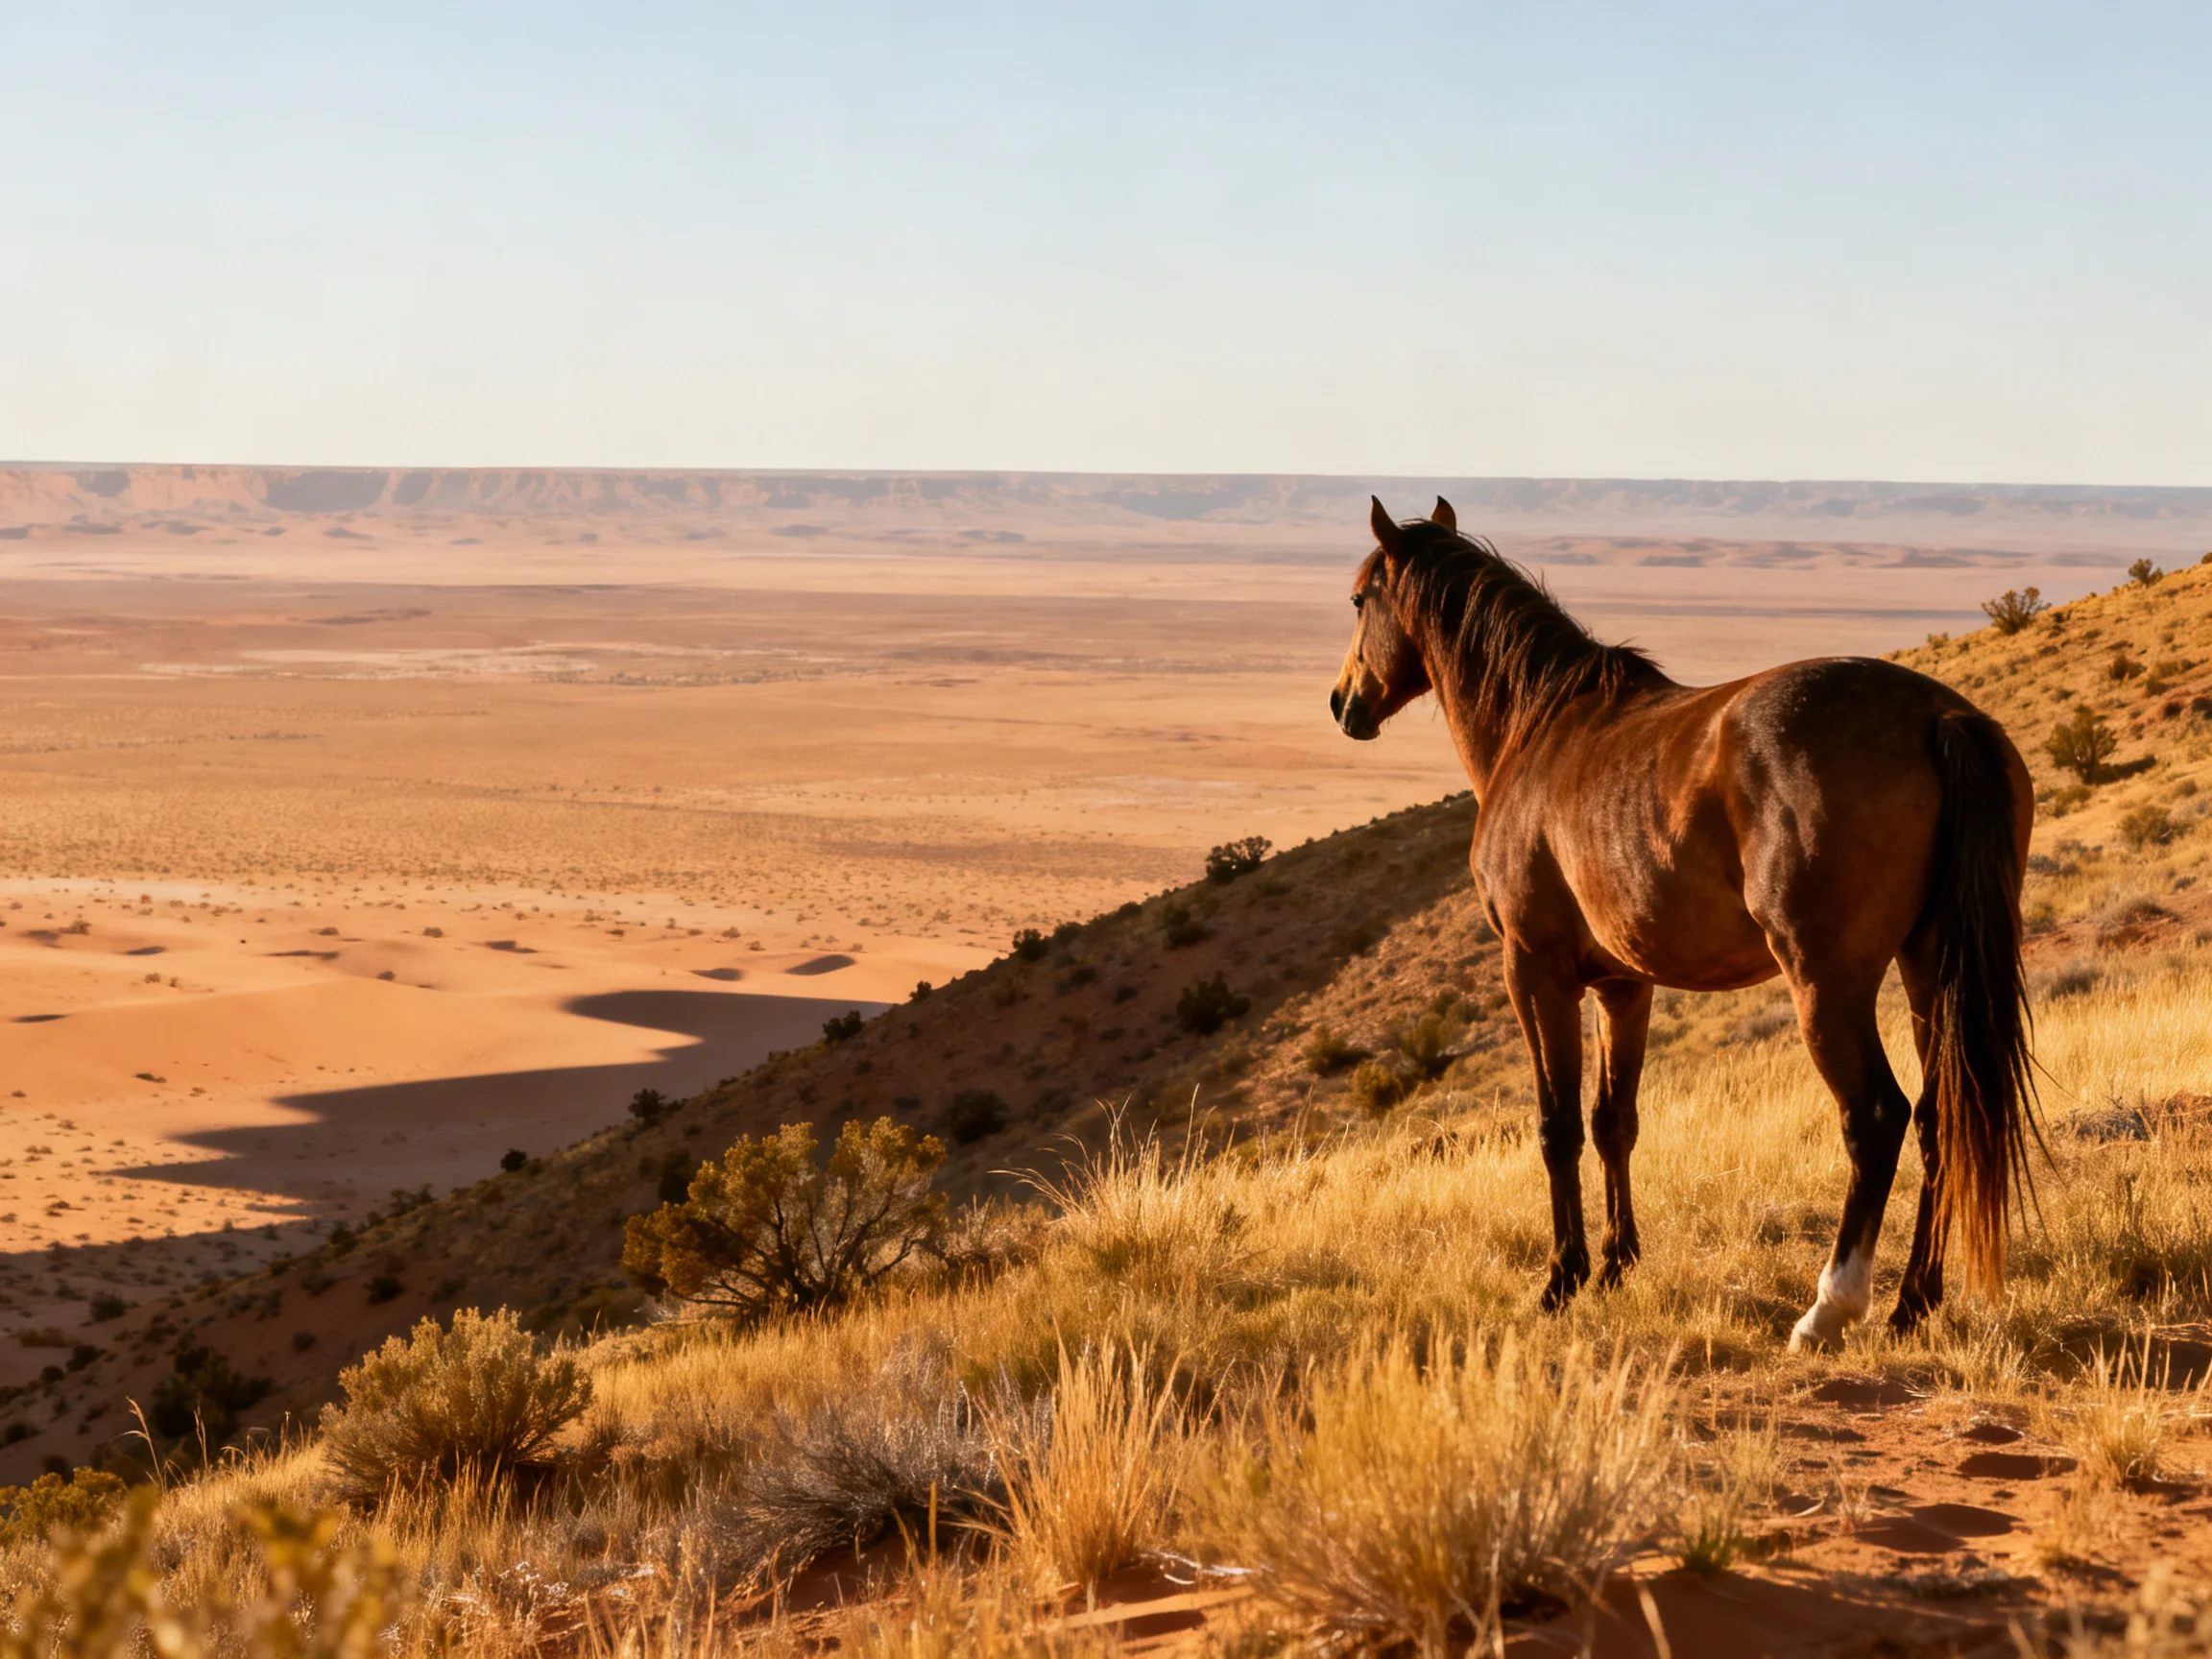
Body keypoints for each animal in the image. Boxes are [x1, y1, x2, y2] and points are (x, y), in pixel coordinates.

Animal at [1330, 496, 2036, 1350]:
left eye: (1359, 600)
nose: (1343, 704)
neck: (1539, 728)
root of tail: (1940, 716)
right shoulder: (1622, 986)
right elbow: (1614, 1121)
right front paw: (1616, 1266)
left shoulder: (1534, 972)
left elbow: (1556, 1126)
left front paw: (1562, 1280)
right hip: (1930, 967)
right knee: (1941, 1118)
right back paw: (1912, 1303)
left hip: (1828, 985)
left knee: (1876, 1118)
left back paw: (1828, 1310)